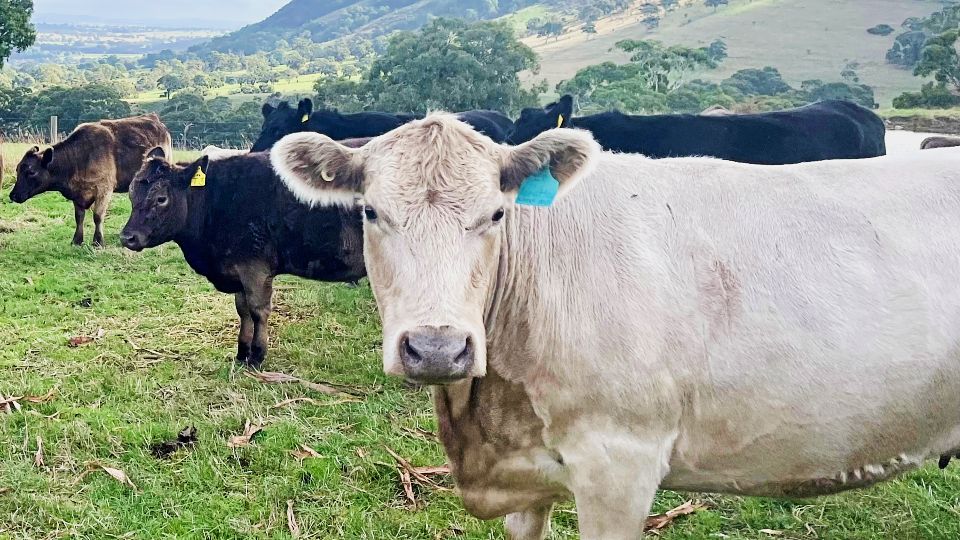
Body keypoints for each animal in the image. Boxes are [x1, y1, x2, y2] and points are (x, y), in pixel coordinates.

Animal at [9, 114, 172, 247]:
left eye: (31, 172)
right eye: (17, 169)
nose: (13, 195)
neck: (80, 157)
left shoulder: (104, 189)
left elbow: (97, 216)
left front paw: (98, 241)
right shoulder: (77, 194)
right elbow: (79, 217)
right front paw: (77, 241)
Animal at [120, 149, 365, 369]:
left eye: (161, 198)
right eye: (131, 194)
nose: (127, 237)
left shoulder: (255, 269)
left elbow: (258, 310)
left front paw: (257, 356)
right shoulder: (238, 270)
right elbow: (243, 309)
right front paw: (241, 353)